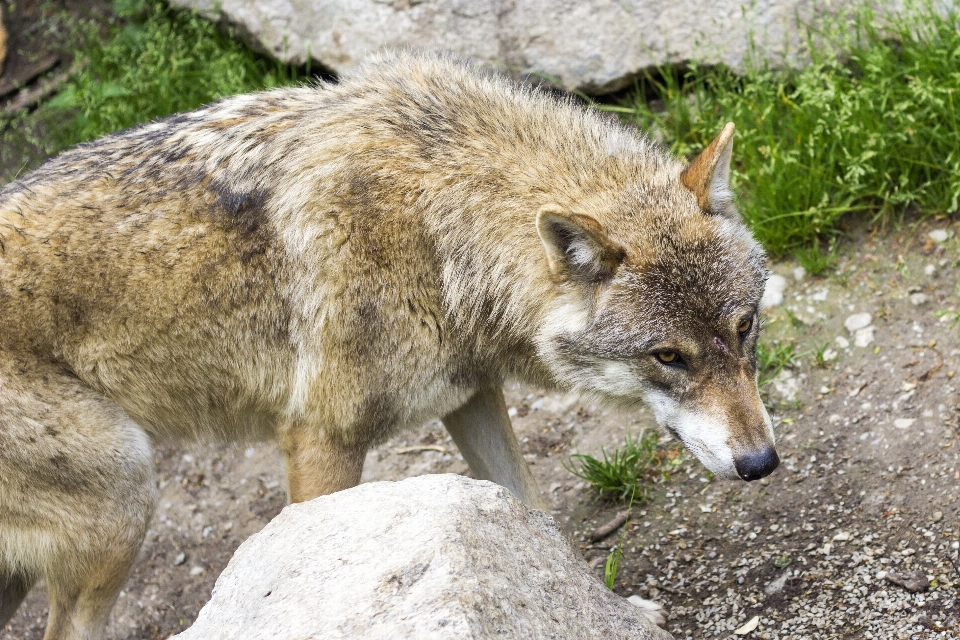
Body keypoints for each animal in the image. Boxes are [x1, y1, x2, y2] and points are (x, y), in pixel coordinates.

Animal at [0, 52, 776, 636]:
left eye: (745, 328)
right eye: (668, 357)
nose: (761, 462)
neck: (440, 231)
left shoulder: (470, 395)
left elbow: (535, 514)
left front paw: (607, 611)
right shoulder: (319, 439)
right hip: (126, 497)